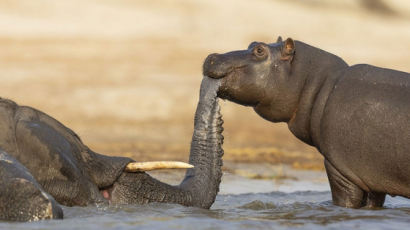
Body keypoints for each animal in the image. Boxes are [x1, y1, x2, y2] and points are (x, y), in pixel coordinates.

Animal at [202, 36, 410, 208]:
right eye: (252, 43)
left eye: (260, 50)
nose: (212, 56)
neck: (321, 84)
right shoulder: (373, 178)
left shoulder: (341, 170)